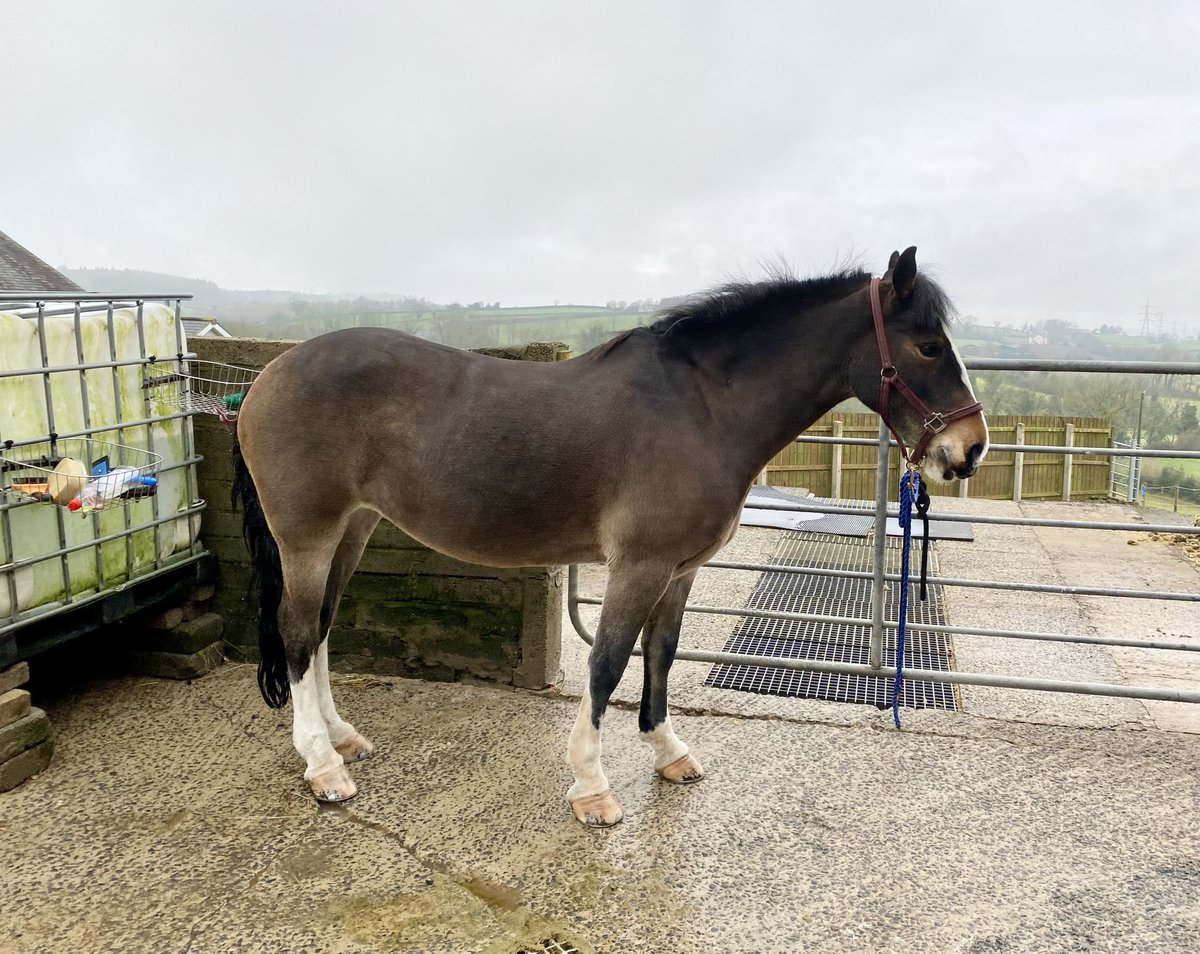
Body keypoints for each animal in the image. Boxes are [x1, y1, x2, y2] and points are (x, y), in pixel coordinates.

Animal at [231, 246, 988, 826]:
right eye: (928, 346)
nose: (971, 448)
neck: (700, 408)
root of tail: (266, 376)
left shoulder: (680, 570)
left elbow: (661, 655)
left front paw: (668, 751)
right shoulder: (640, 565)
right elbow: (609, 663)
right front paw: (592, 788)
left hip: (352, 529)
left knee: (321, 630)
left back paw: (341, 738)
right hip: (308, 536)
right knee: (297, 631)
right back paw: (322, 766)